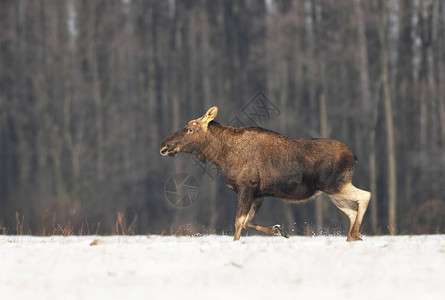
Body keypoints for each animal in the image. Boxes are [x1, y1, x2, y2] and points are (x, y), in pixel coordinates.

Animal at [161, 106, 370, 240]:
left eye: (190, 128)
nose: (165, 145)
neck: (221, 156)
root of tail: (354, 156)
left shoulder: (247, 187)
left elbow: (238, 222)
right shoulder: (258, 194)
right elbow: (246, 222)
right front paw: (279, 230)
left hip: (335, 185)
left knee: (365, 195)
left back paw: (354, 235)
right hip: (333, 192)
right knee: (353, 210)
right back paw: (352, 237)